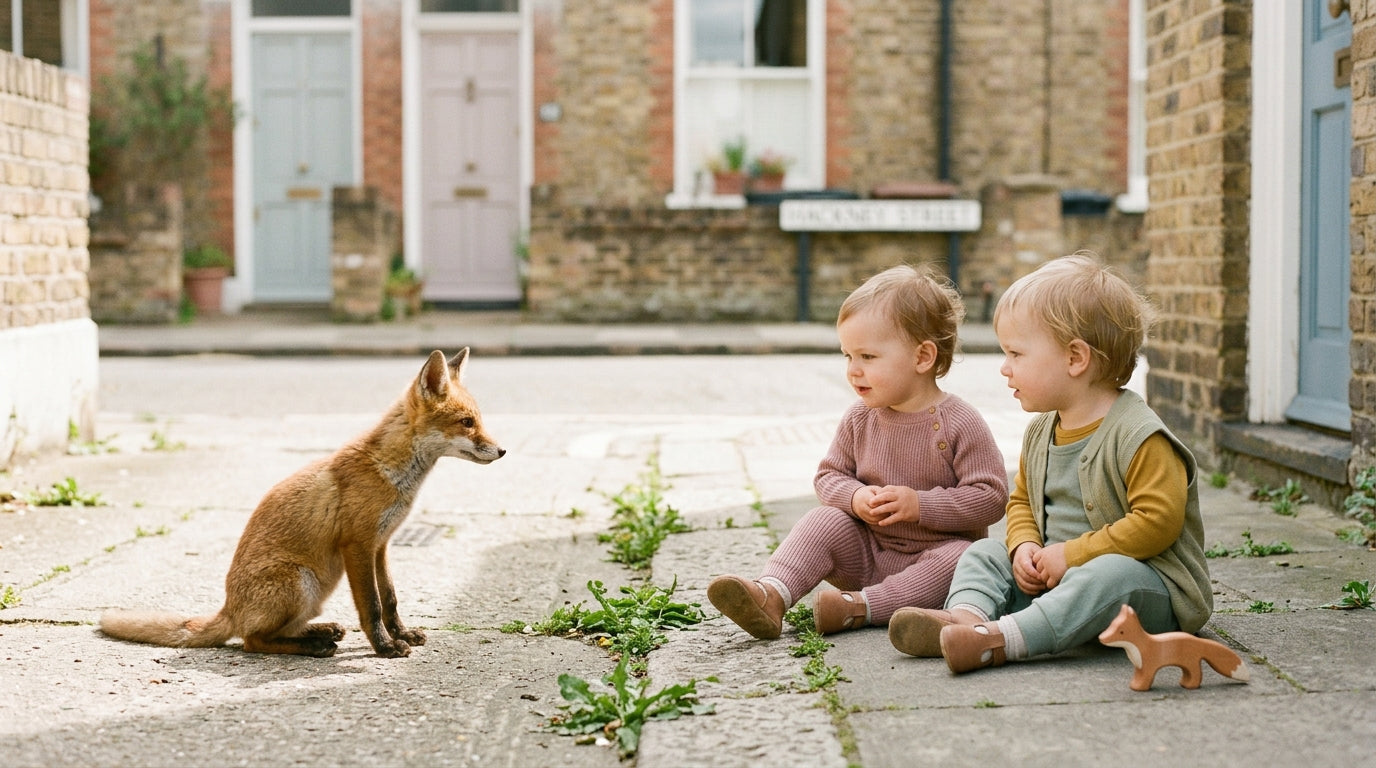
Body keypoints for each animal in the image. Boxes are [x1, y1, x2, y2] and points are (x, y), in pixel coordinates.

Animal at [100, 348, 504, 658]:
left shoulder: (381, 545)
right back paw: (314, 647)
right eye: (466, 422)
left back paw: (322, 632)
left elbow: (390, 599)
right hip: (301, 581)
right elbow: (371, 606)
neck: (389, 470)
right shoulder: (357, 544)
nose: (502, 451)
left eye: (479, 420)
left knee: (281, 631)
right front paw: (386, 648)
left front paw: (401, 635)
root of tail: (229, 608)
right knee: (252, 641)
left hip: (319, 587)